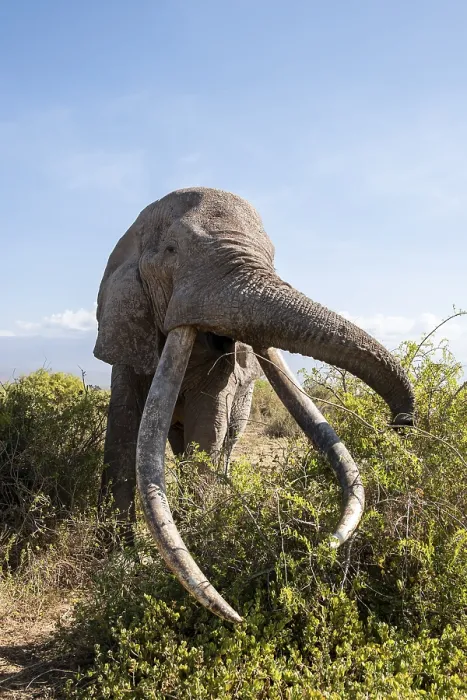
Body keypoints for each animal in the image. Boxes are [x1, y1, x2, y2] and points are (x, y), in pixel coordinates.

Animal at [94, 186, 415, 623]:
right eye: (172, 250)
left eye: (273, 258)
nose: (400, 424)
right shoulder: (125, 325)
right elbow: (124, 430)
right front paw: (118, 564)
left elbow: (206, 428)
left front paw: (202, 530)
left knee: (224, 442)